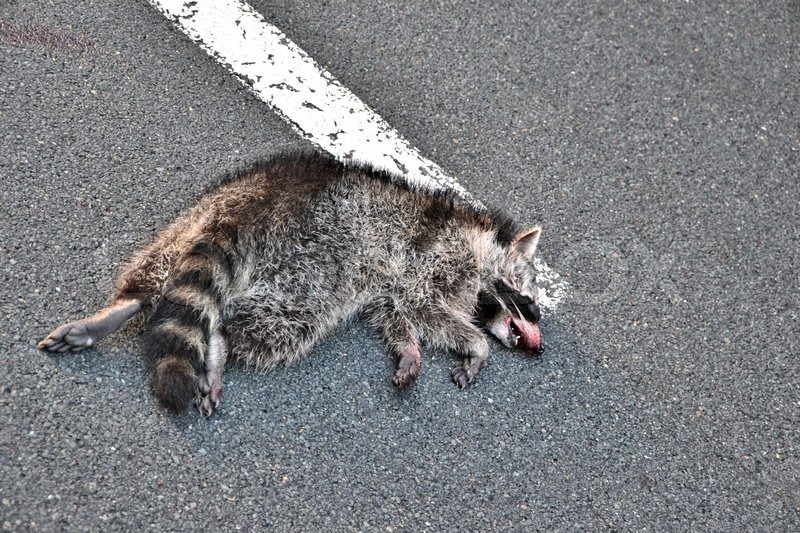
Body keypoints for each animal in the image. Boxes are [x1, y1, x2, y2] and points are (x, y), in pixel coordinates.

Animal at [38, 152, 544, 416]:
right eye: (528, 296)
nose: (539, 338)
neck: (482, 248)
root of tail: (255, 201)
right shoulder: (436, 259)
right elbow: (424, 309)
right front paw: (476, 346)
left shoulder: (393, 285)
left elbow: (395, 315)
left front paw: (408, 350)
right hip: (315, 256)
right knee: (277, 322)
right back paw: (222, 343)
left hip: (193, 221)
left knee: (160, 275)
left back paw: (128, 307)